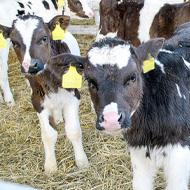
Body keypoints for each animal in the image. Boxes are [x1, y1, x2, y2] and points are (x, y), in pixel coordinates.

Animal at [0, 14, 88, 172]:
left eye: (44, 38)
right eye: (14, 42)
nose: (30, 66)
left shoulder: (73, 96)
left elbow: (74, 131)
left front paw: (82, 161)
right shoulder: (37, 101)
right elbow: (48, 134)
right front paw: (50, 166)